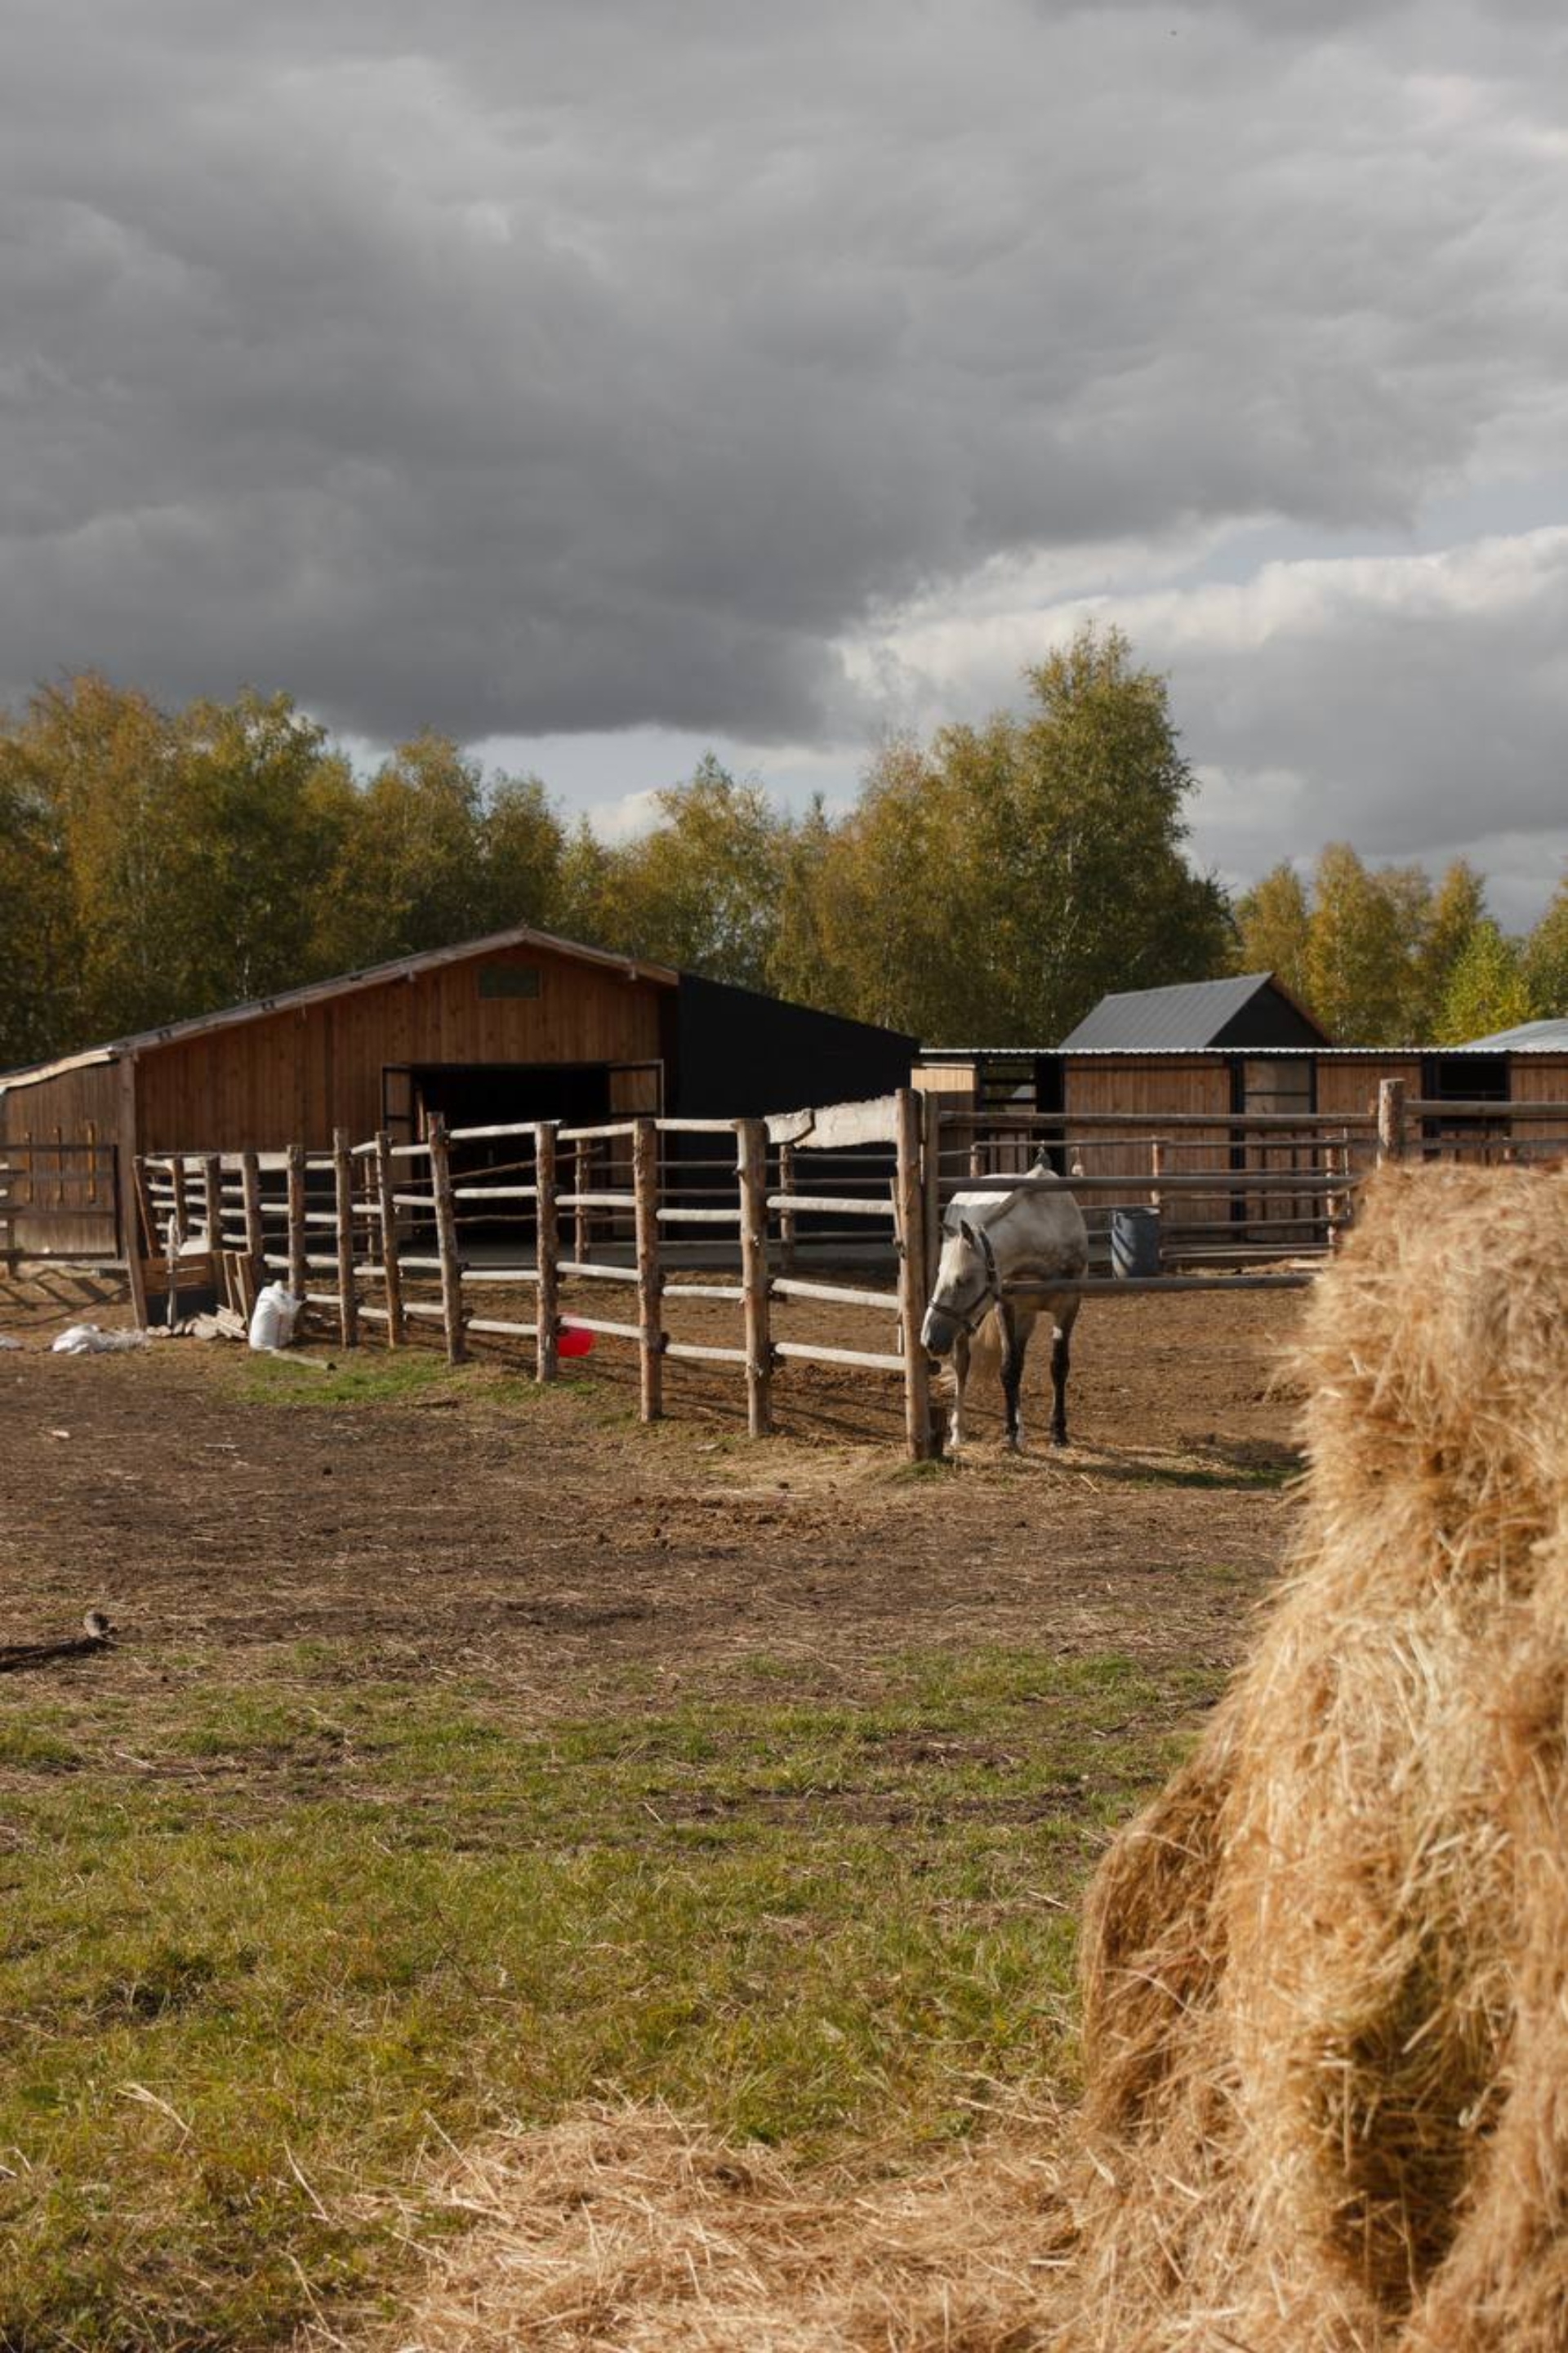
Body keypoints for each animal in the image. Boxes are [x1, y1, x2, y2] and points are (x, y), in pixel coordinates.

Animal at [923, 1157, 1083, 1449]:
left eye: (963, 1280)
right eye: (940, 1274)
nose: (927, 1338)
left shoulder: (1069, 1306)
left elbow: (1058, 1366)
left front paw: (1058, 1432)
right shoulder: (1005, 1305)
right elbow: (1009, 1369)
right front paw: (1009, 1432)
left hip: (1026, 1317)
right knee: (963, 1364)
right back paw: (959, 1430)